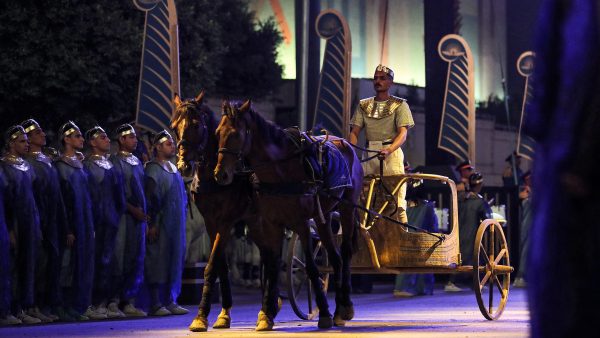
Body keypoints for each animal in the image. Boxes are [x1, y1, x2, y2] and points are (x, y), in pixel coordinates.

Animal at [169, 92, 268, 330]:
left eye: (196, 125)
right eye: (174, 126)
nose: (184, 165)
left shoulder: (226, 222)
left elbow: (211, 265)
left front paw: (201, 316)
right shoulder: (210, 222)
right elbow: (221, 266)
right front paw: (223, 314)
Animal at [216, 99, 366, 328]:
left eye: (235, 134)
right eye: (218, 132)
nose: (220, 174)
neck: (280, 171)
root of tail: (344, 143)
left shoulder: (301, 223)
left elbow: (311, 267)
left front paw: (323, 313)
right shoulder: (271, 223)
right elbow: (273, 265)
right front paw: (267, 314)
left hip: (347, 207)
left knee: (346, 253)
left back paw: (345, 306)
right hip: (323, 216)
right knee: (335, 257)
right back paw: (339, 309)